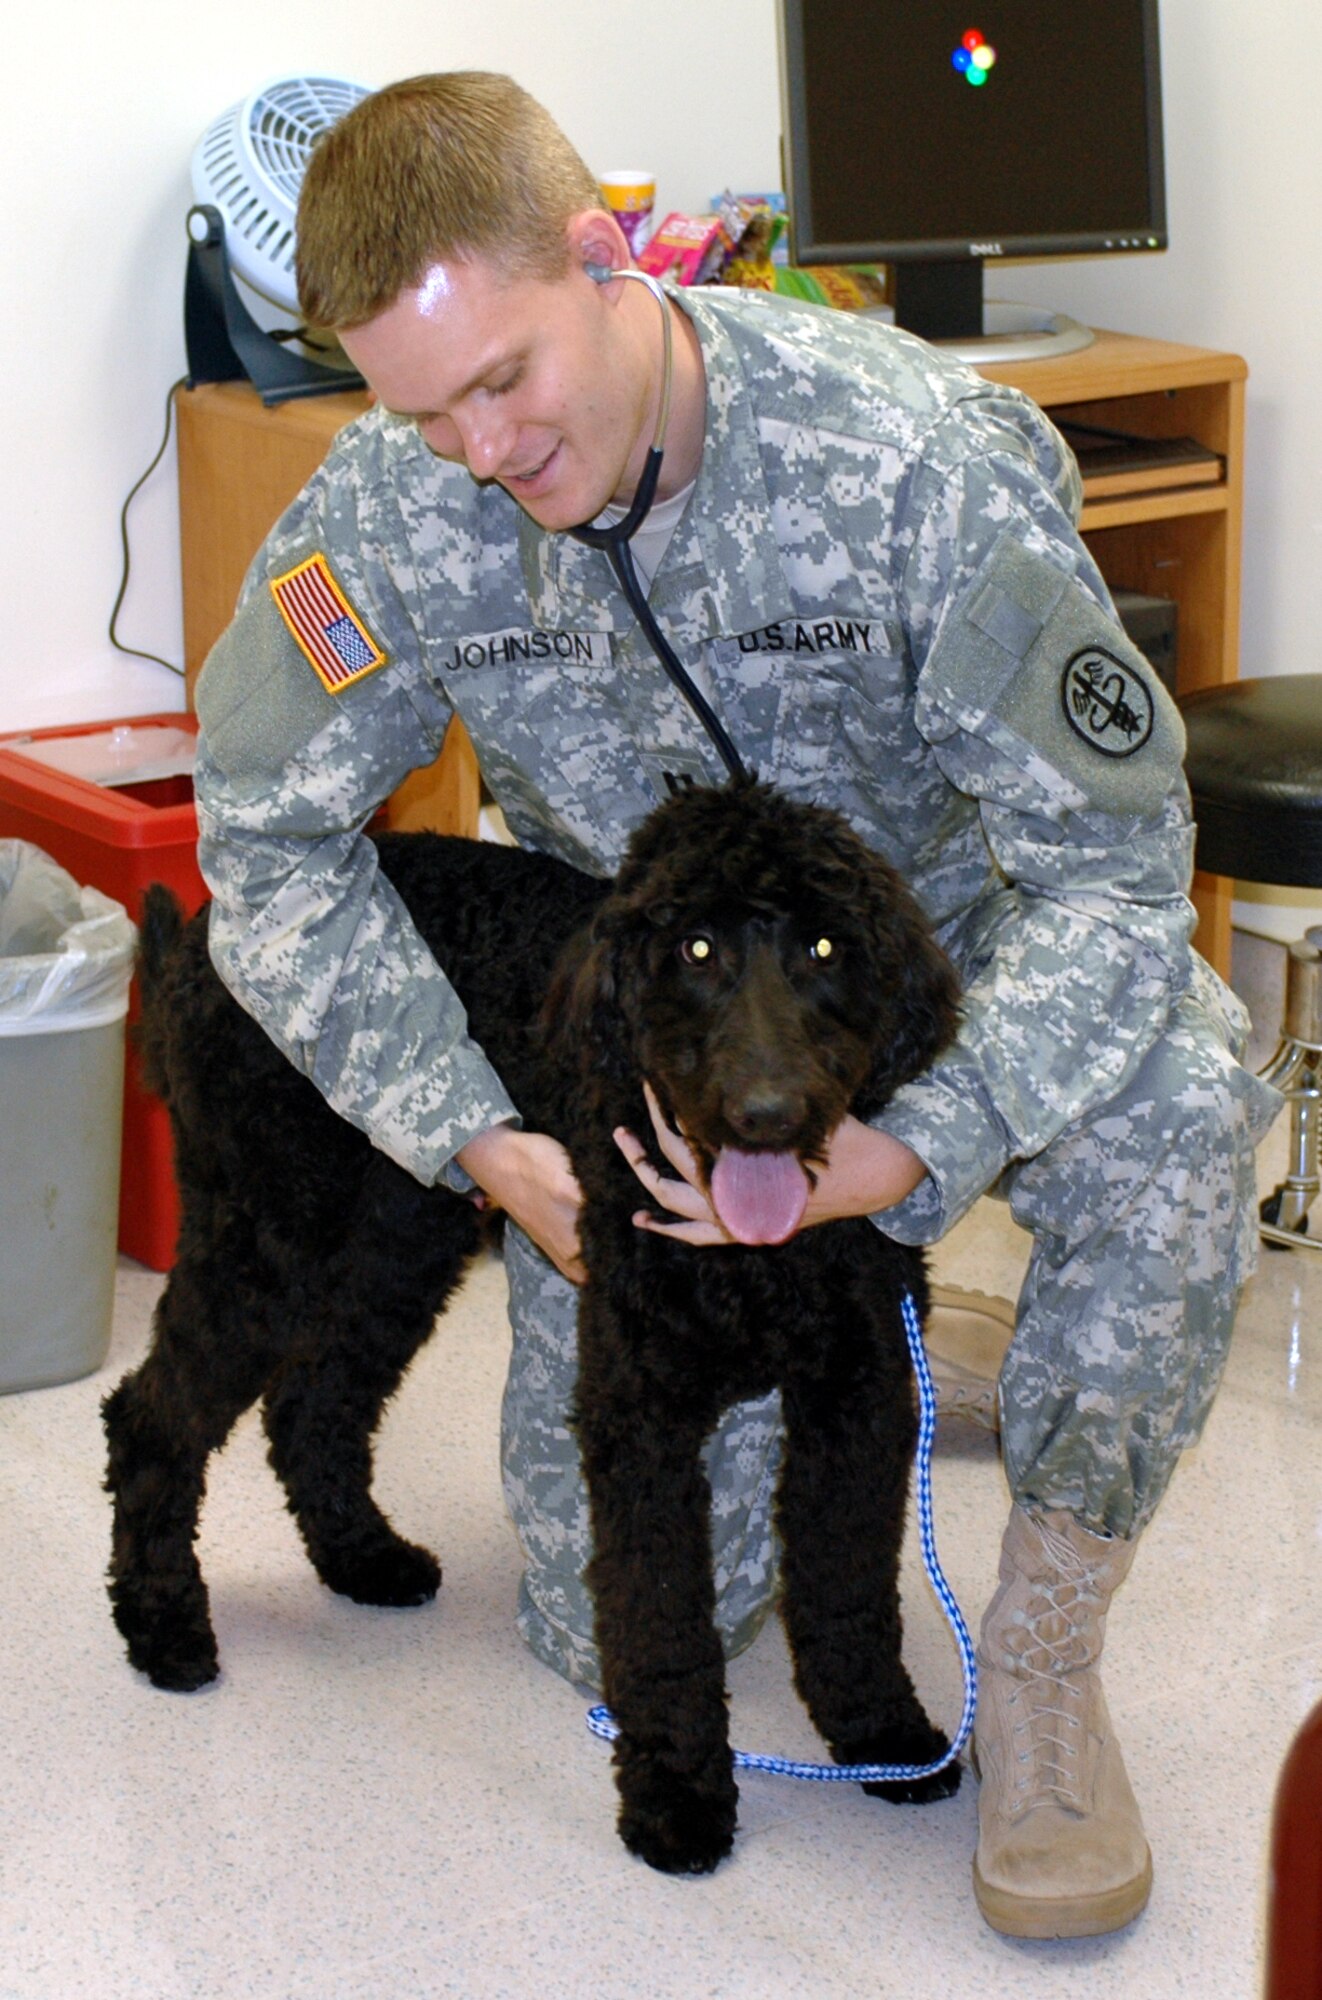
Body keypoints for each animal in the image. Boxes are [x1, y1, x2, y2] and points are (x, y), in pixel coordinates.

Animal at [103, 780, 960, 1872]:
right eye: (693, 947)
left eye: (824, 946)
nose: (764, 1112)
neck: (751, 1253)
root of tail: (200, 938)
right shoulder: (637, 1410)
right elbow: (660, 1610)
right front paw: (677, 1793)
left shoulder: (862, 1394)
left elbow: (849, 1589)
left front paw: (882, 1737)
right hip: (266, 1237)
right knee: (150, 1417)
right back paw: (162, 1625)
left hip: (401, 1236)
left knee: (311, 1405)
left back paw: (361, 1557)